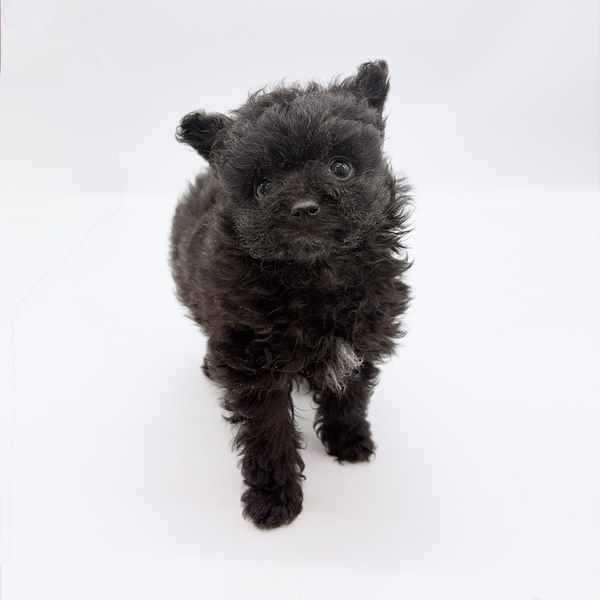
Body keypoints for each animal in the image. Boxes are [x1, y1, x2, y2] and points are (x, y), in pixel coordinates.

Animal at [170, 60, 411, 529]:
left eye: (341, 168)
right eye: (263, 187)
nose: (304, 206)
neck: (315, 274)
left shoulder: (360, 338)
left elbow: (350, 394)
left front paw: (348, 440)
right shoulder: (254, 365)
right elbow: (270, 434)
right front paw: (273, 499)